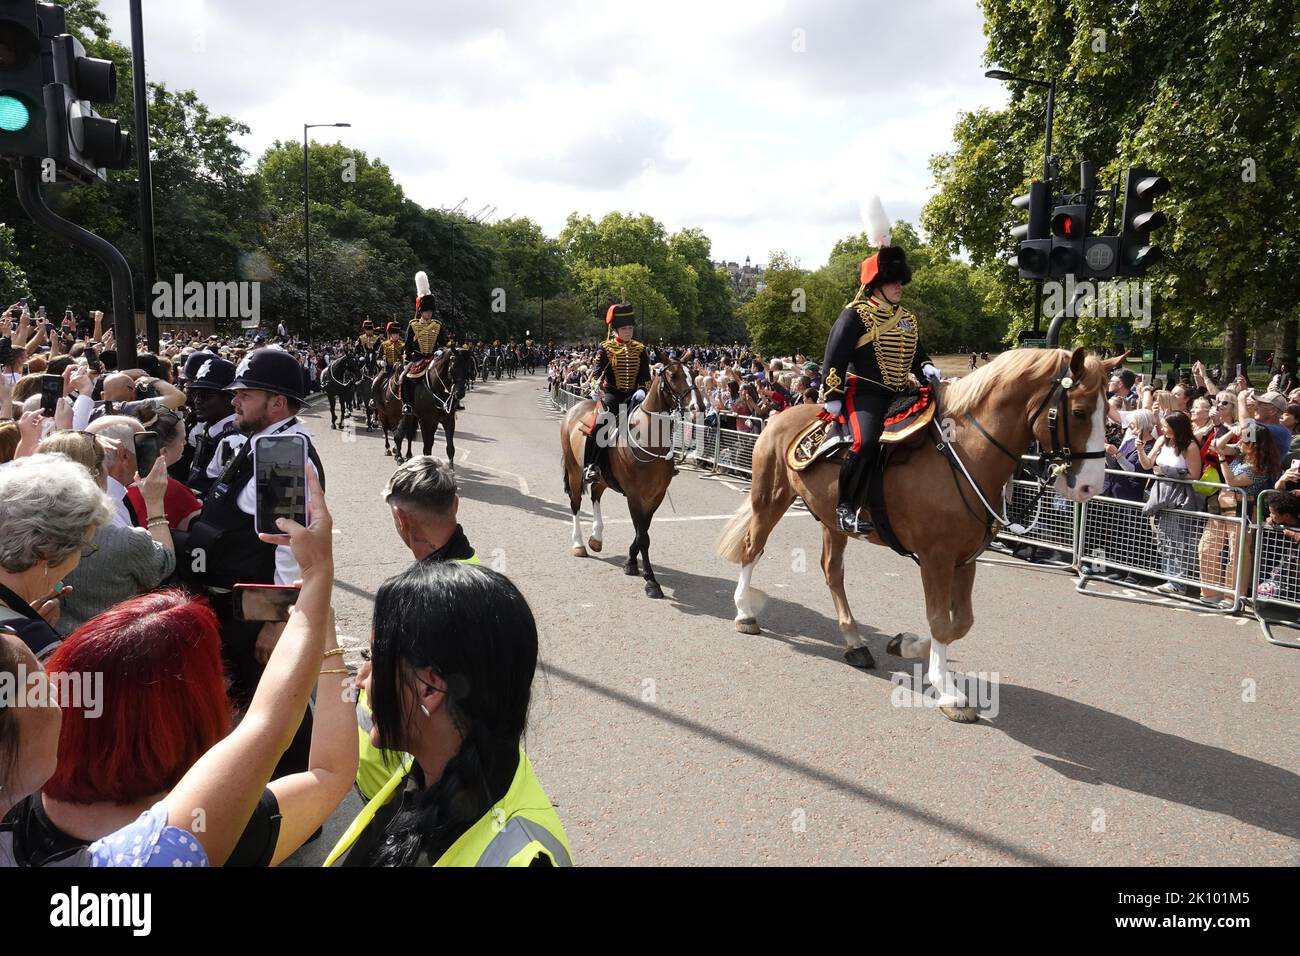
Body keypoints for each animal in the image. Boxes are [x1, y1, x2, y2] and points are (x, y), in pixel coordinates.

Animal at [561, 356, 702, 598]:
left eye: (693, 373)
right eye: (673, 375)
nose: (697, 406)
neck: (649, 436)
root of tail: (576, 408)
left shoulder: (655, 496)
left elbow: (642, 531)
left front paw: (631, 563)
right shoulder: (635, 496)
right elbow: (643, 536)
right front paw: (651, 581)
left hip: (602, 478)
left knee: (596, 496)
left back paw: (596, 538)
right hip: (574, 470)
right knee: (576, 503)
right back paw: (578, 544)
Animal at [717, 348, 1123, 723]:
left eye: (1108, 410)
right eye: (1080, 411)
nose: (1090, 486)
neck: (963, 454)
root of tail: (780, 416)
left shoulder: (965, 558)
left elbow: (960, 622)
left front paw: (908, 646)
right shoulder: (935, 558)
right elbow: (941, 620)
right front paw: (948, 693)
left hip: (831, 522)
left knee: (832, 572)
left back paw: (853, 641)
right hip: (770, 498)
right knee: (753, 549)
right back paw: (744, 613)